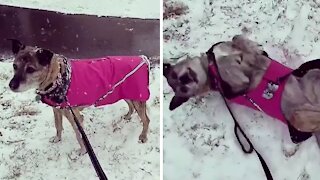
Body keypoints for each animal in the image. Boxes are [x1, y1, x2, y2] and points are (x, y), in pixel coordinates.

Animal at [8, 39, 151, 155]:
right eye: (14, 66)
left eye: (30, 69)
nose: (11, 85)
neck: (58, 78)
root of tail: (143, 59)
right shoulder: (57, 109)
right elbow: (58, 126)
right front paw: (57, 139)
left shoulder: (74, 116)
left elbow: (79, 136)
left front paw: (82, 151)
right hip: (124, 92)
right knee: (131, 106)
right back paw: (127, 116)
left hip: (137, 96)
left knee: (146, 119)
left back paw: (143, 136)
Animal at [164, 34, 320, 155]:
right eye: (182, 90)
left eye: (175, 75)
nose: (184, 80)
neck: (210, 70)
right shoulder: (236, 86)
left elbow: (237, 38)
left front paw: (252, 46)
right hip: (297, 117)